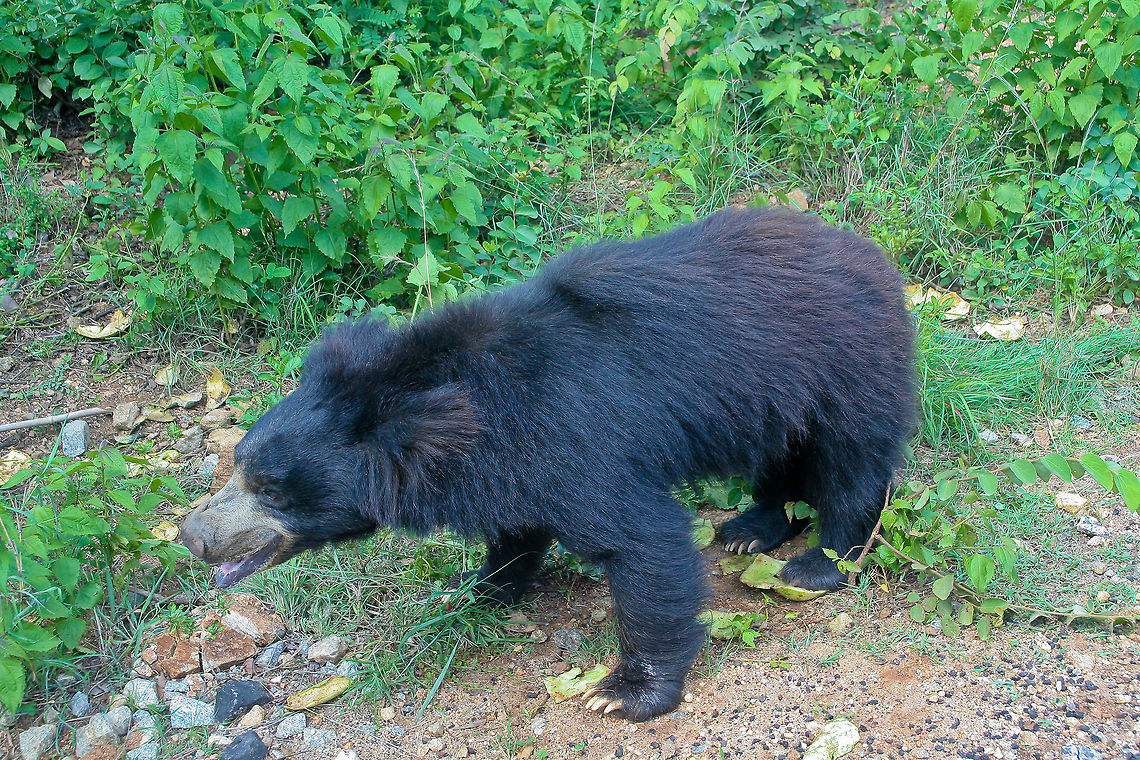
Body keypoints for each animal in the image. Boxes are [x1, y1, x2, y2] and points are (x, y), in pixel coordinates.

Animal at [178, 206, 917, 722]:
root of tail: (875, 255)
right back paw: (748, 529)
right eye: (237, 463)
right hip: (778, 395)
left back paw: (819, 563)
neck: (462, 412)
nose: (191, 535)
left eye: (270, 488)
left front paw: (624, 691)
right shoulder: (513, 462)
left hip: (846, 366)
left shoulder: (572, 435)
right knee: (779, 459)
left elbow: (641, 539)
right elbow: (516, 529)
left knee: (852, 468)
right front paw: (474, 589)